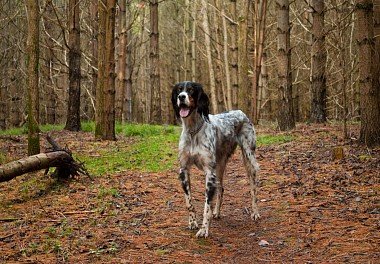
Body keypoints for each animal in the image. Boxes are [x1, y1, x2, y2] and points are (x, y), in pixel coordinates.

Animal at [173, 80, 260, 237]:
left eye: (191, 90)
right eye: (178, 90)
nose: (181, 97)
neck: (193, 131)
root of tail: (240, 112)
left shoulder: (209, 171)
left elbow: (206, 205)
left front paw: (204, 229)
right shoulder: (184, 169)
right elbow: (189, 202)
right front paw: (193, 222)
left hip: (249, 157)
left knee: (253, 188)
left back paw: (255, 212)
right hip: (219, 165)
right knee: (221, 188)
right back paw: (217, 212)